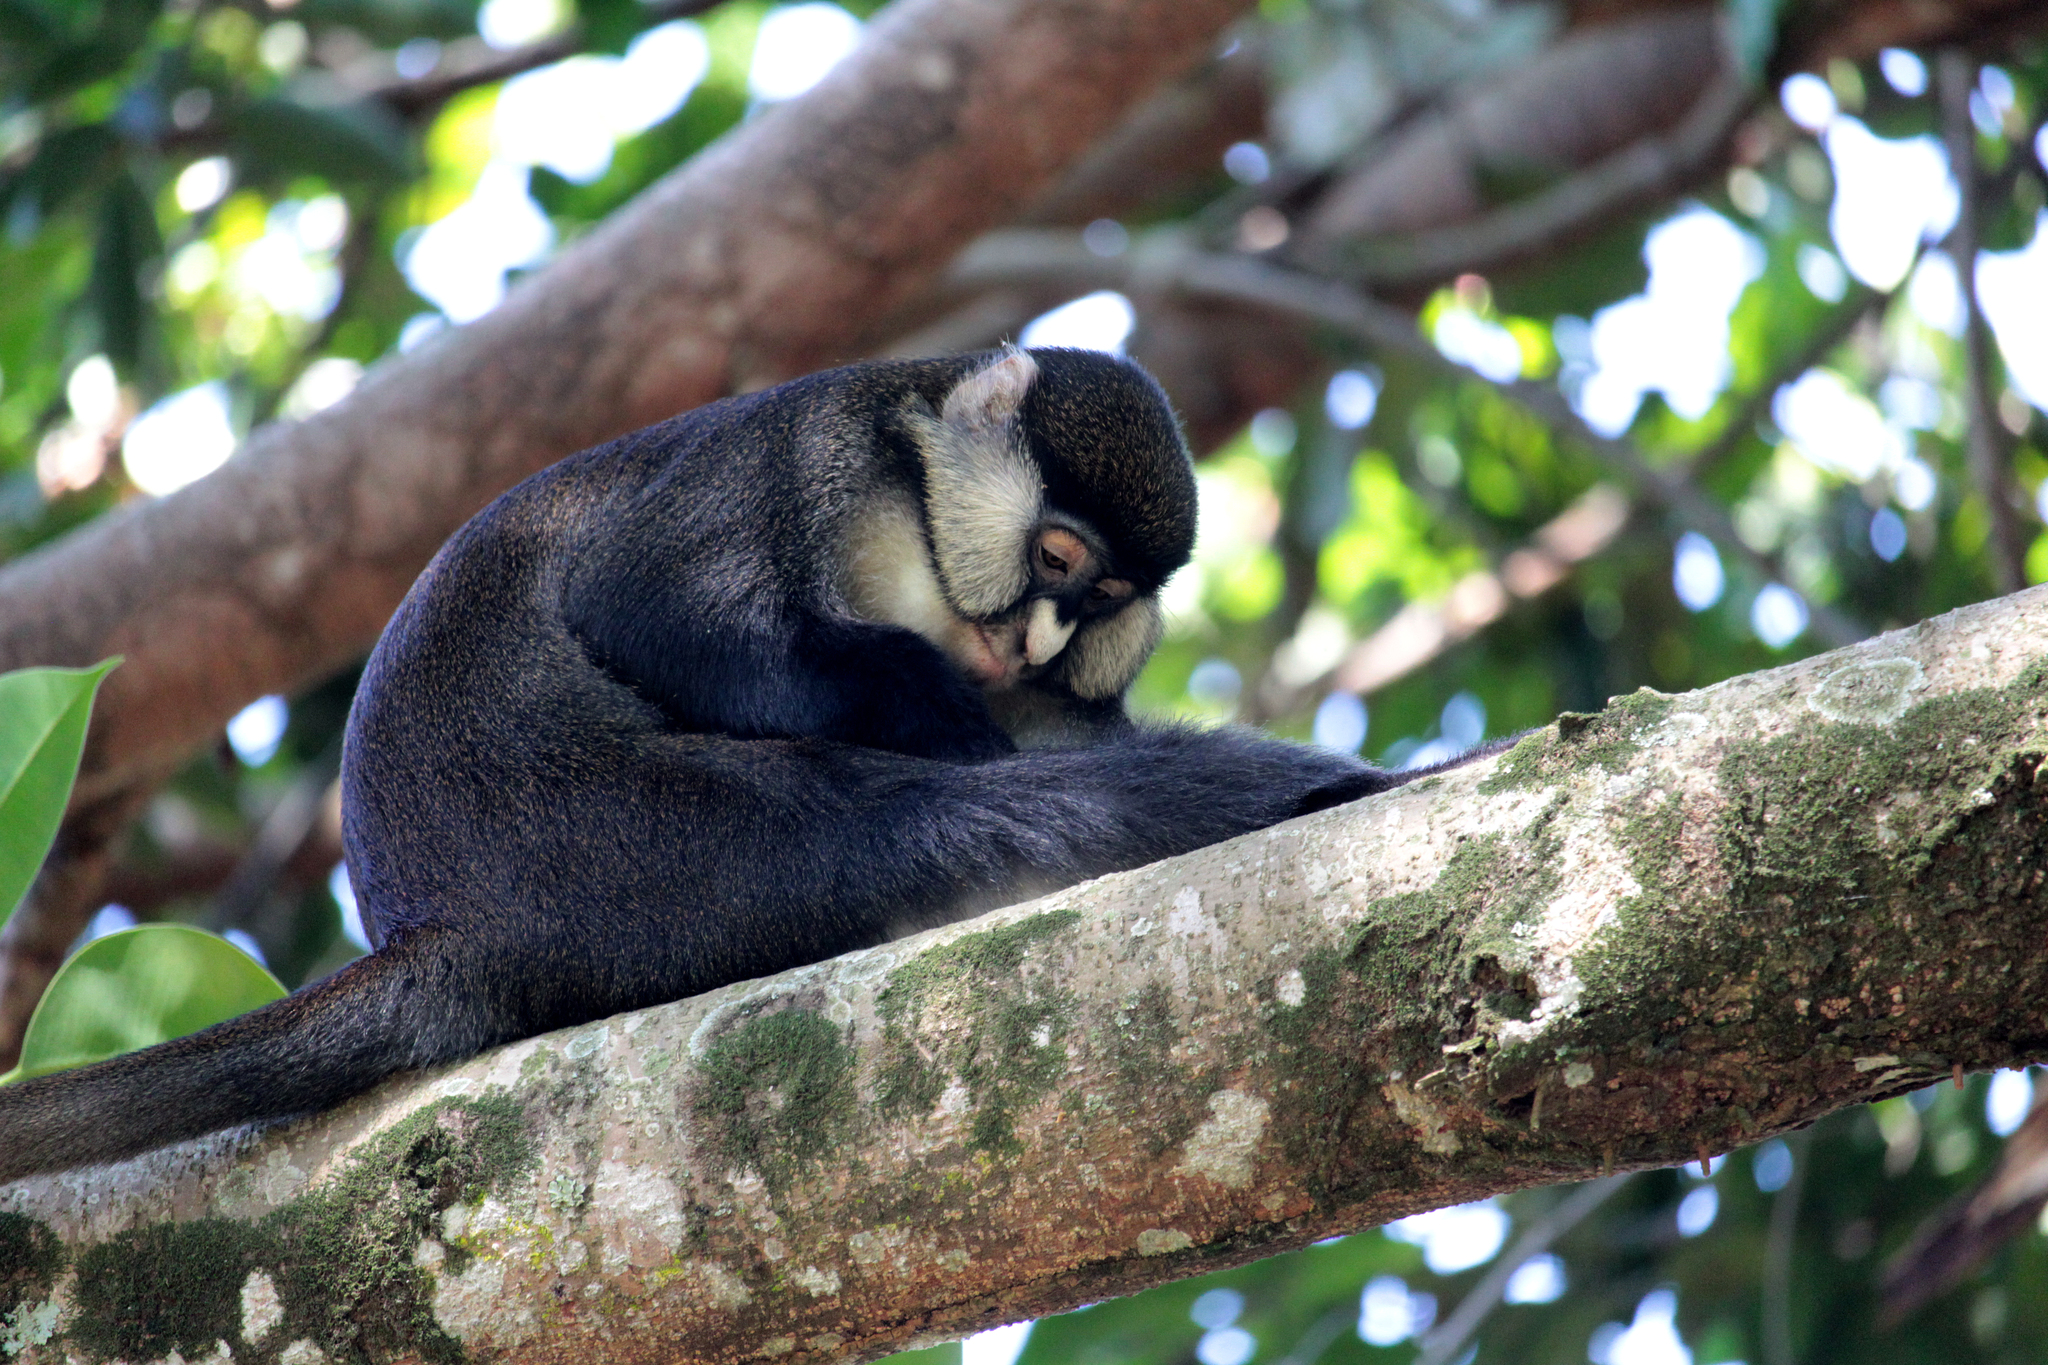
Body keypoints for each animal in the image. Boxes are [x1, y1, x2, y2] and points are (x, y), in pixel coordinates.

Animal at [0, 349, 1441, 1186]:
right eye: (1058, 558)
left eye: (1102, 602)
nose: (1036, 639)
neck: (913, 508)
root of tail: (445, 923)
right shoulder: (790, 457)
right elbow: (649, 610)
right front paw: (925, 702)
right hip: (630, 844)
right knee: (953, 824)